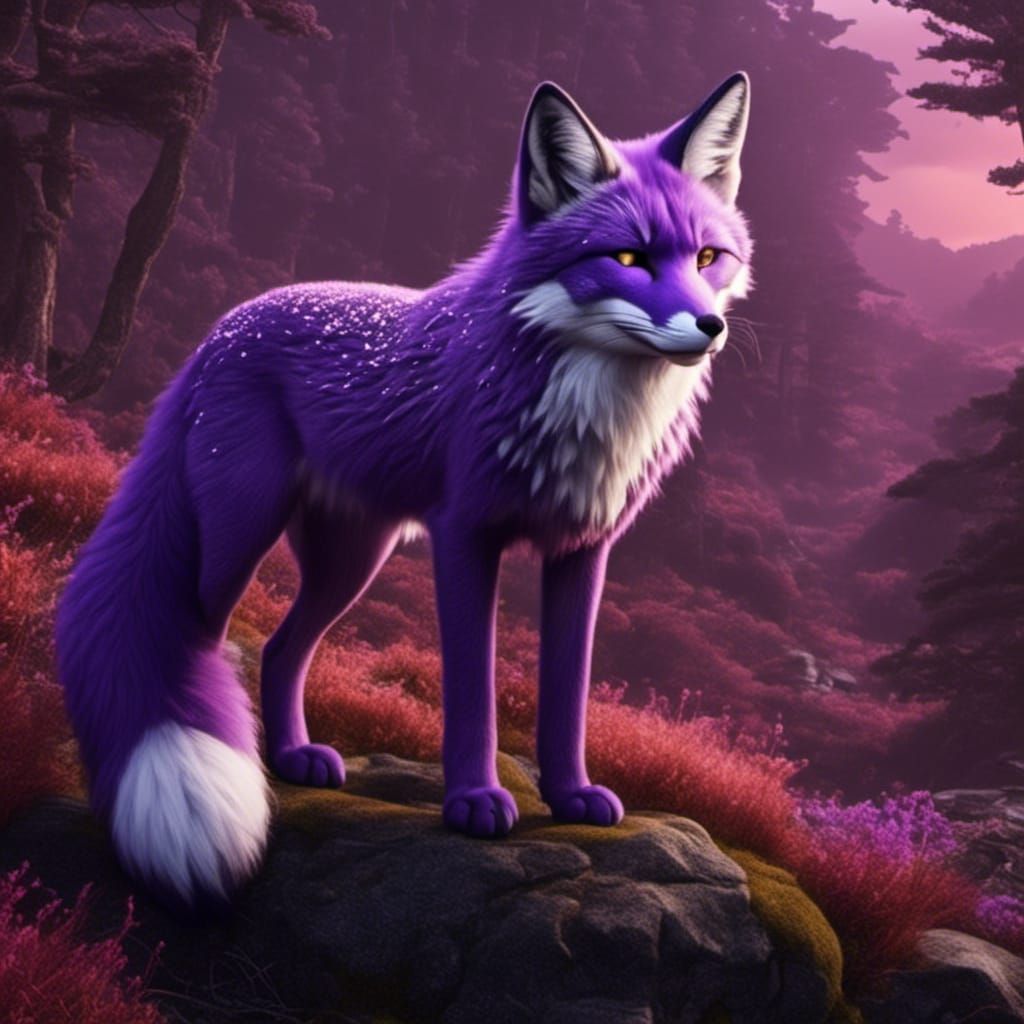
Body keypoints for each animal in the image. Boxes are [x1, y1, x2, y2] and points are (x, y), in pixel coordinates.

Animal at [56, 73, 753, 910]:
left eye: (709, 257)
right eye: (628, 257)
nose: (708, 326)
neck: (584, 412)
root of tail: (221, 331)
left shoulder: (583, 551)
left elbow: (567, 695)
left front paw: (571, 795)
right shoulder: (465, 536)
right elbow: (472, 692)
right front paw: (474, 802)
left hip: (352, 561)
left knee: (282, 650)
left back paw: (292, 760)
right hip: (237, 537)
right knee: (200, 640)